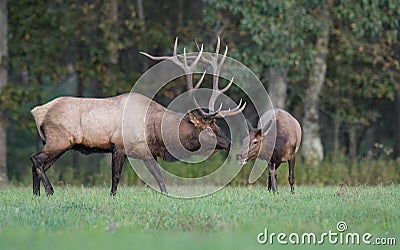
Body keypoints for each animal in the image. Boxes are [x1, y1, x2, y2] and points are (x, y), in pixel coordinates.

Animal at [30, 38, 244, 196]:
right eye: (209, 130)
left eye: (219, 127)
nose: (230, 144)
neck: (156, 132)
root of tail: (38, 112)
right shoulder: (118, 145)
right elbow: (115, 178)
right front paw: (112, 197)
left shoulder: (147, 153)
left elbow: (160, 178)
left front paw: (166, 196)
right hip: (59, 140)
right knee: (36, 159)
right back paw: (49, 191)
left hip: (58, 144)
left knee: (39, 164)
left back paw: (37, 195)